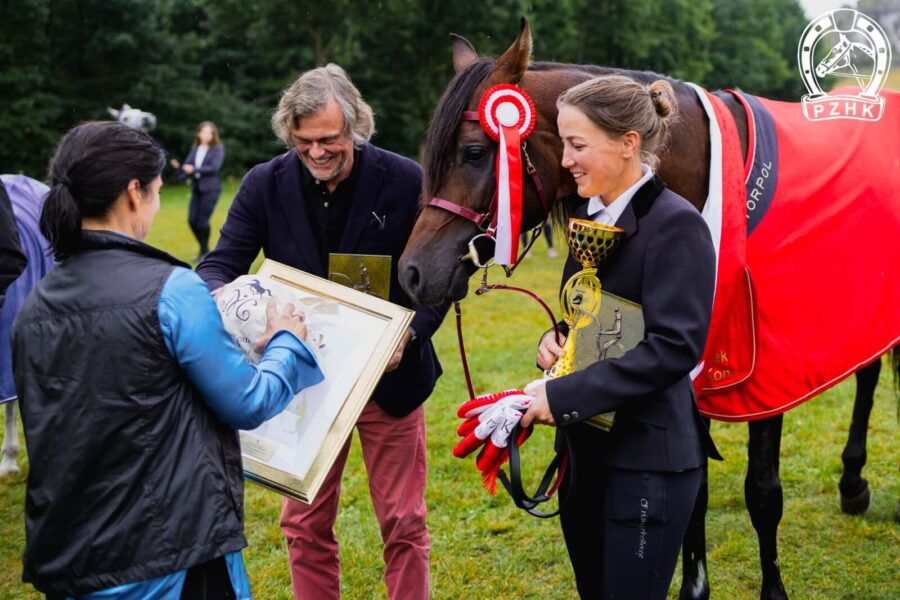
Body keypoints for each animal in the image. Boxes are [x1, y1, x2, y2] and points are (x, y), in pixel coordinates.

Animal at [402, 18, 900, 600]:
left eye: (476, 152)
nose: (412, 272)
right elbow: (690, 490)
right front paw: (694, 586)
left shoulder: (764, 378)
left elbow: (761, 492)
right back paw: (852, 484)